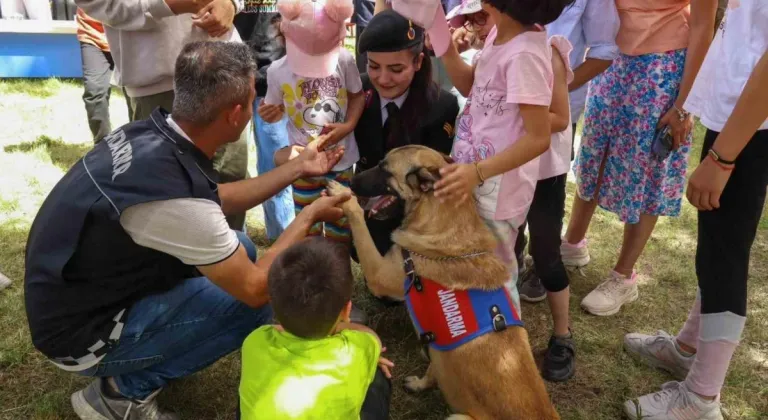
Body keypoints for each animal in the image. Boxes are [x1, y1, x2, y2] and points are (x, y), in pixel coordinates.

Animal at [326, 145, 560, 420]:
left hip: (459, 417)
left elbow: (360, 225)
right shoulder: (437, 349)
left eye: (384, 168)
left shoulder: (378, 274)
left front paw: (344, 197)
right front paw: (421, 383)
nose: (352, 182)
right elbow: (434, 368)